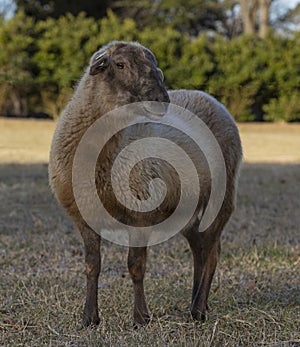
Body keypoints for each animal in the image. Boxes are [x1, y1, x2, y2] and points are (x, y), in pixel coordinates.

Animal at [48, 40, 243, 328]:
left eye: (155, 67)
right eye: (120, 64)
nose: (162, 100)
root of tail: (207, 96)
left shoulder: (139, 216)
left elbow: (136, 267)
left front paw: (141, 317)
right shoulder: (84, 217)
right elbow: (92, 266)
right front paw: (89, 318)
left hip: (221, 198)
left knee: (211, 252)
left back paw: (197, 310)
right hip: (187, 209)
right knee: (199, 248)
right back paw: (196, 303)